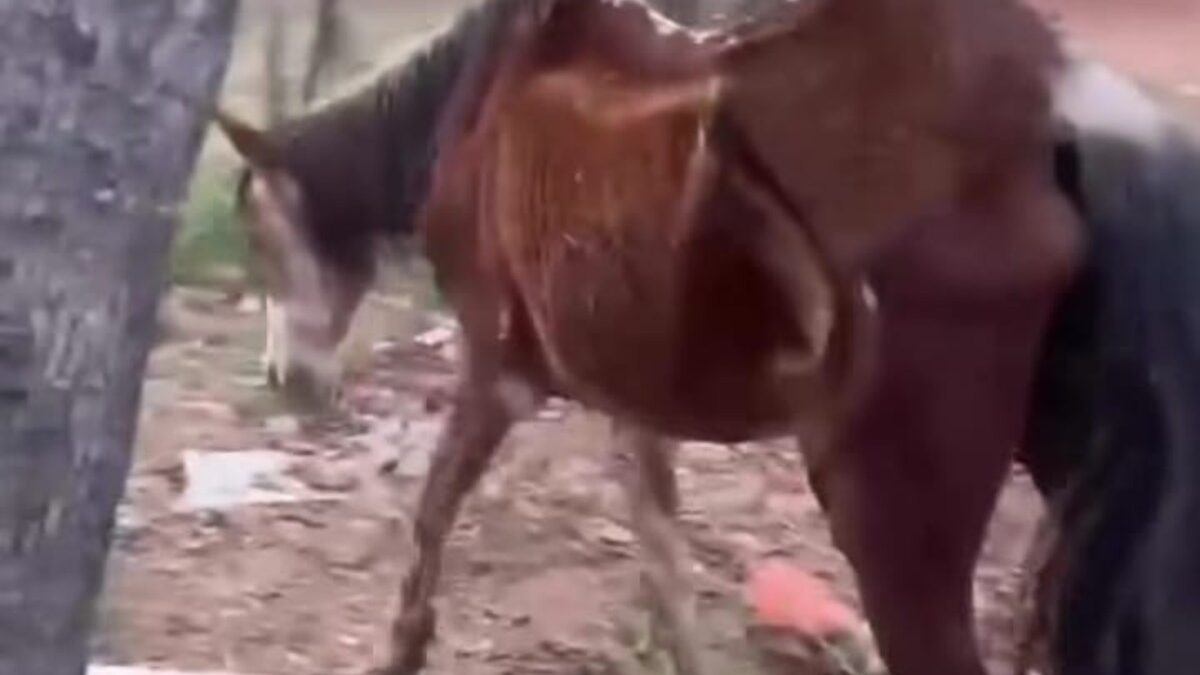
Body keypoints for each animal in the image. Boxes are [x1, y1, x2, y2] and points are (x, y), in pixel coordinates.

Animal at [198, 0, 1189, 673]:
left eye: (259, 232)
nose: (288, 379)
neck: (476, 105)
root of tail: (1058, 120)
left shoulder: (498, 364)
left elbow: (433, 513)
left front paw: (399, 649)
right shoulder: (622, 382)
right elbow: (663, 552)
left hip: (888, 510)